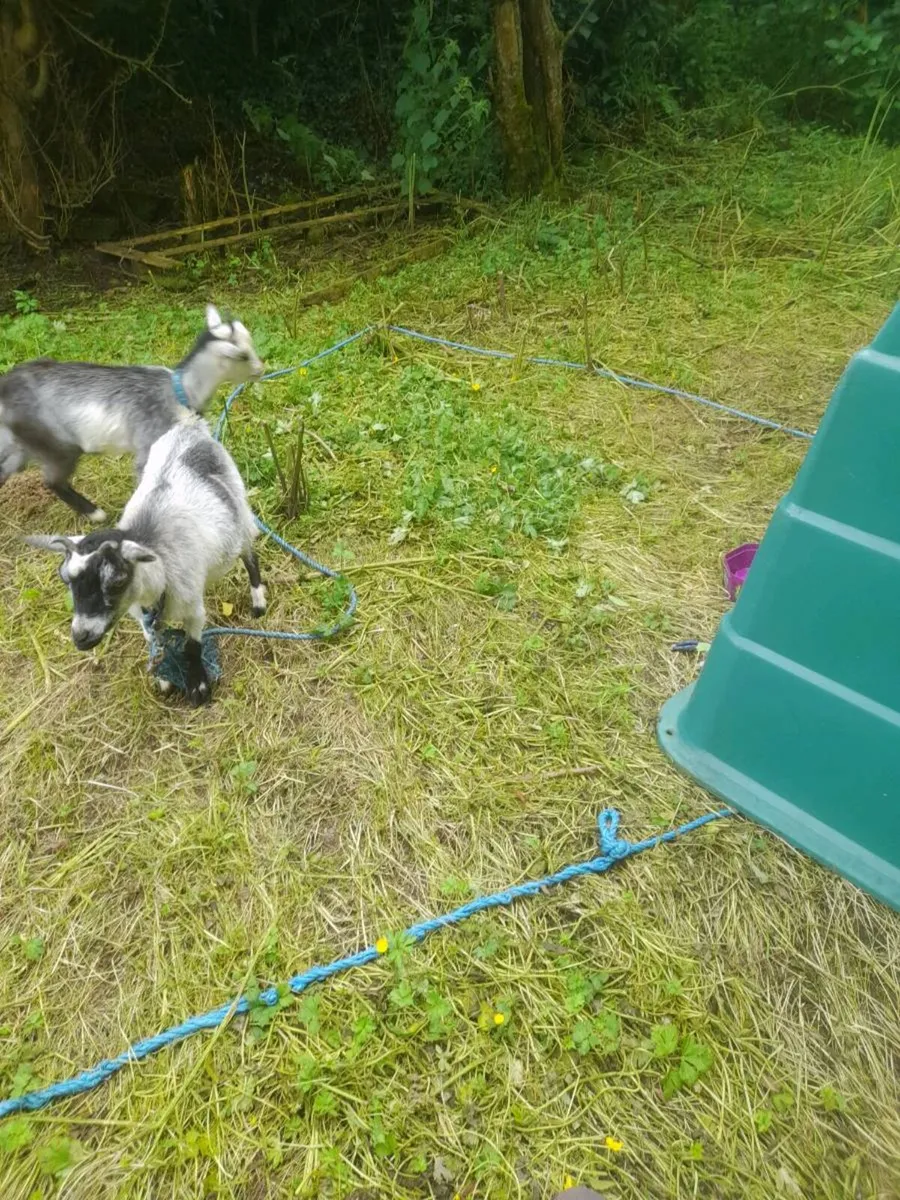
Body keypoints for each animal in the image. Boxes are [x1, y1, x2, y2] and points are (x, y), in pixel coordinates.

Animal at [0, 304, 262, 522]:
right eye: (242, 355)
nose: (261, 369)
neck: (181, 390)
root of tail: (6, 389)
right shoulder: (149, 443)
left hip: (20, 442)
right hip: (56, 443)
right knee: (53, 480)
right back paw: (96, 514)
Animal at [25, 415, 265, 707]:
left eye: (117, 581)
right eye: (66, 579)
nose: (80, 637)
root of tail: (191, 428)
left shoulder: (194, 608)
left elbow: (191, 646)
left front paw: (198, 686)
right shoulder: (142, 614)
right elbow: (153, 639)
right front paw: (163, 676)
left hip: (239, 515)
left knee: (250, 555)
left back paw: (258, 602)